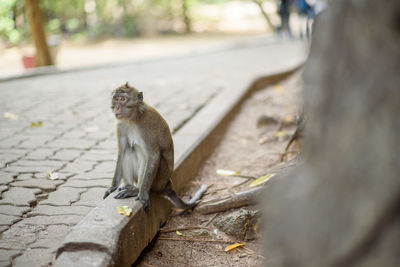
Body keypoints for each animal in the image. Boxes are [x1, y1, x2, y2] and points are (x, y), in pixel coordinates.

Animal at [103, 82, 208, 213]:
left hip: (159, 180)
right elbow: (121, 152)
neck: (133, 118)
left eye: (123, 99)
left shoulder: (146, 127)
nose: (117, 108)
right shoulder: (120, 125)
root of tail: (167, 183)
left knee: (144, 154)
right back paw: (129, 186)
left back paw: (136, 190)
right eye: (115, 99)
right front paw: (112, 187)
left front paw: (142, 194)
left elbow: (153, 156)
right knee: (129, 150)